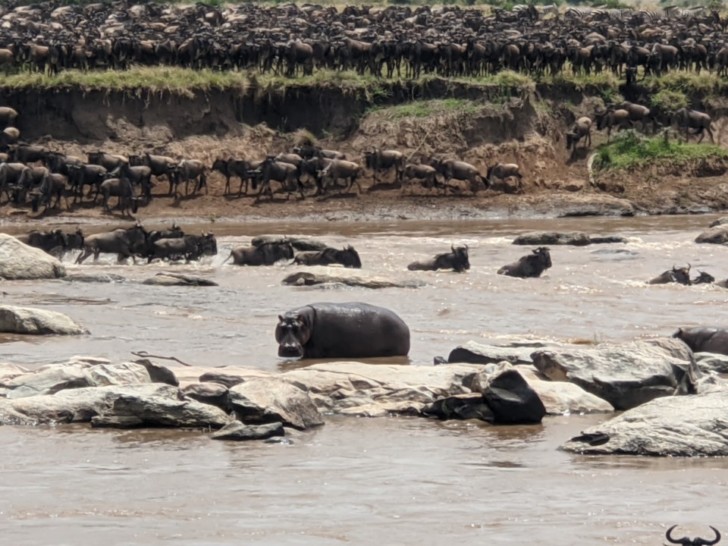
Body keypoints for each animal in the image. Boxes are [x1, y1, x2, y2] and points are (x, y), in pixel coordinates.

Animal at [276, 300, 410, 360]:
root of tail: (404, 324)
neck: (306, 320)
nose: (289, 348)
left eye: (297, 328)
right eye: (281, 327)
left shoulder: (314, 351)